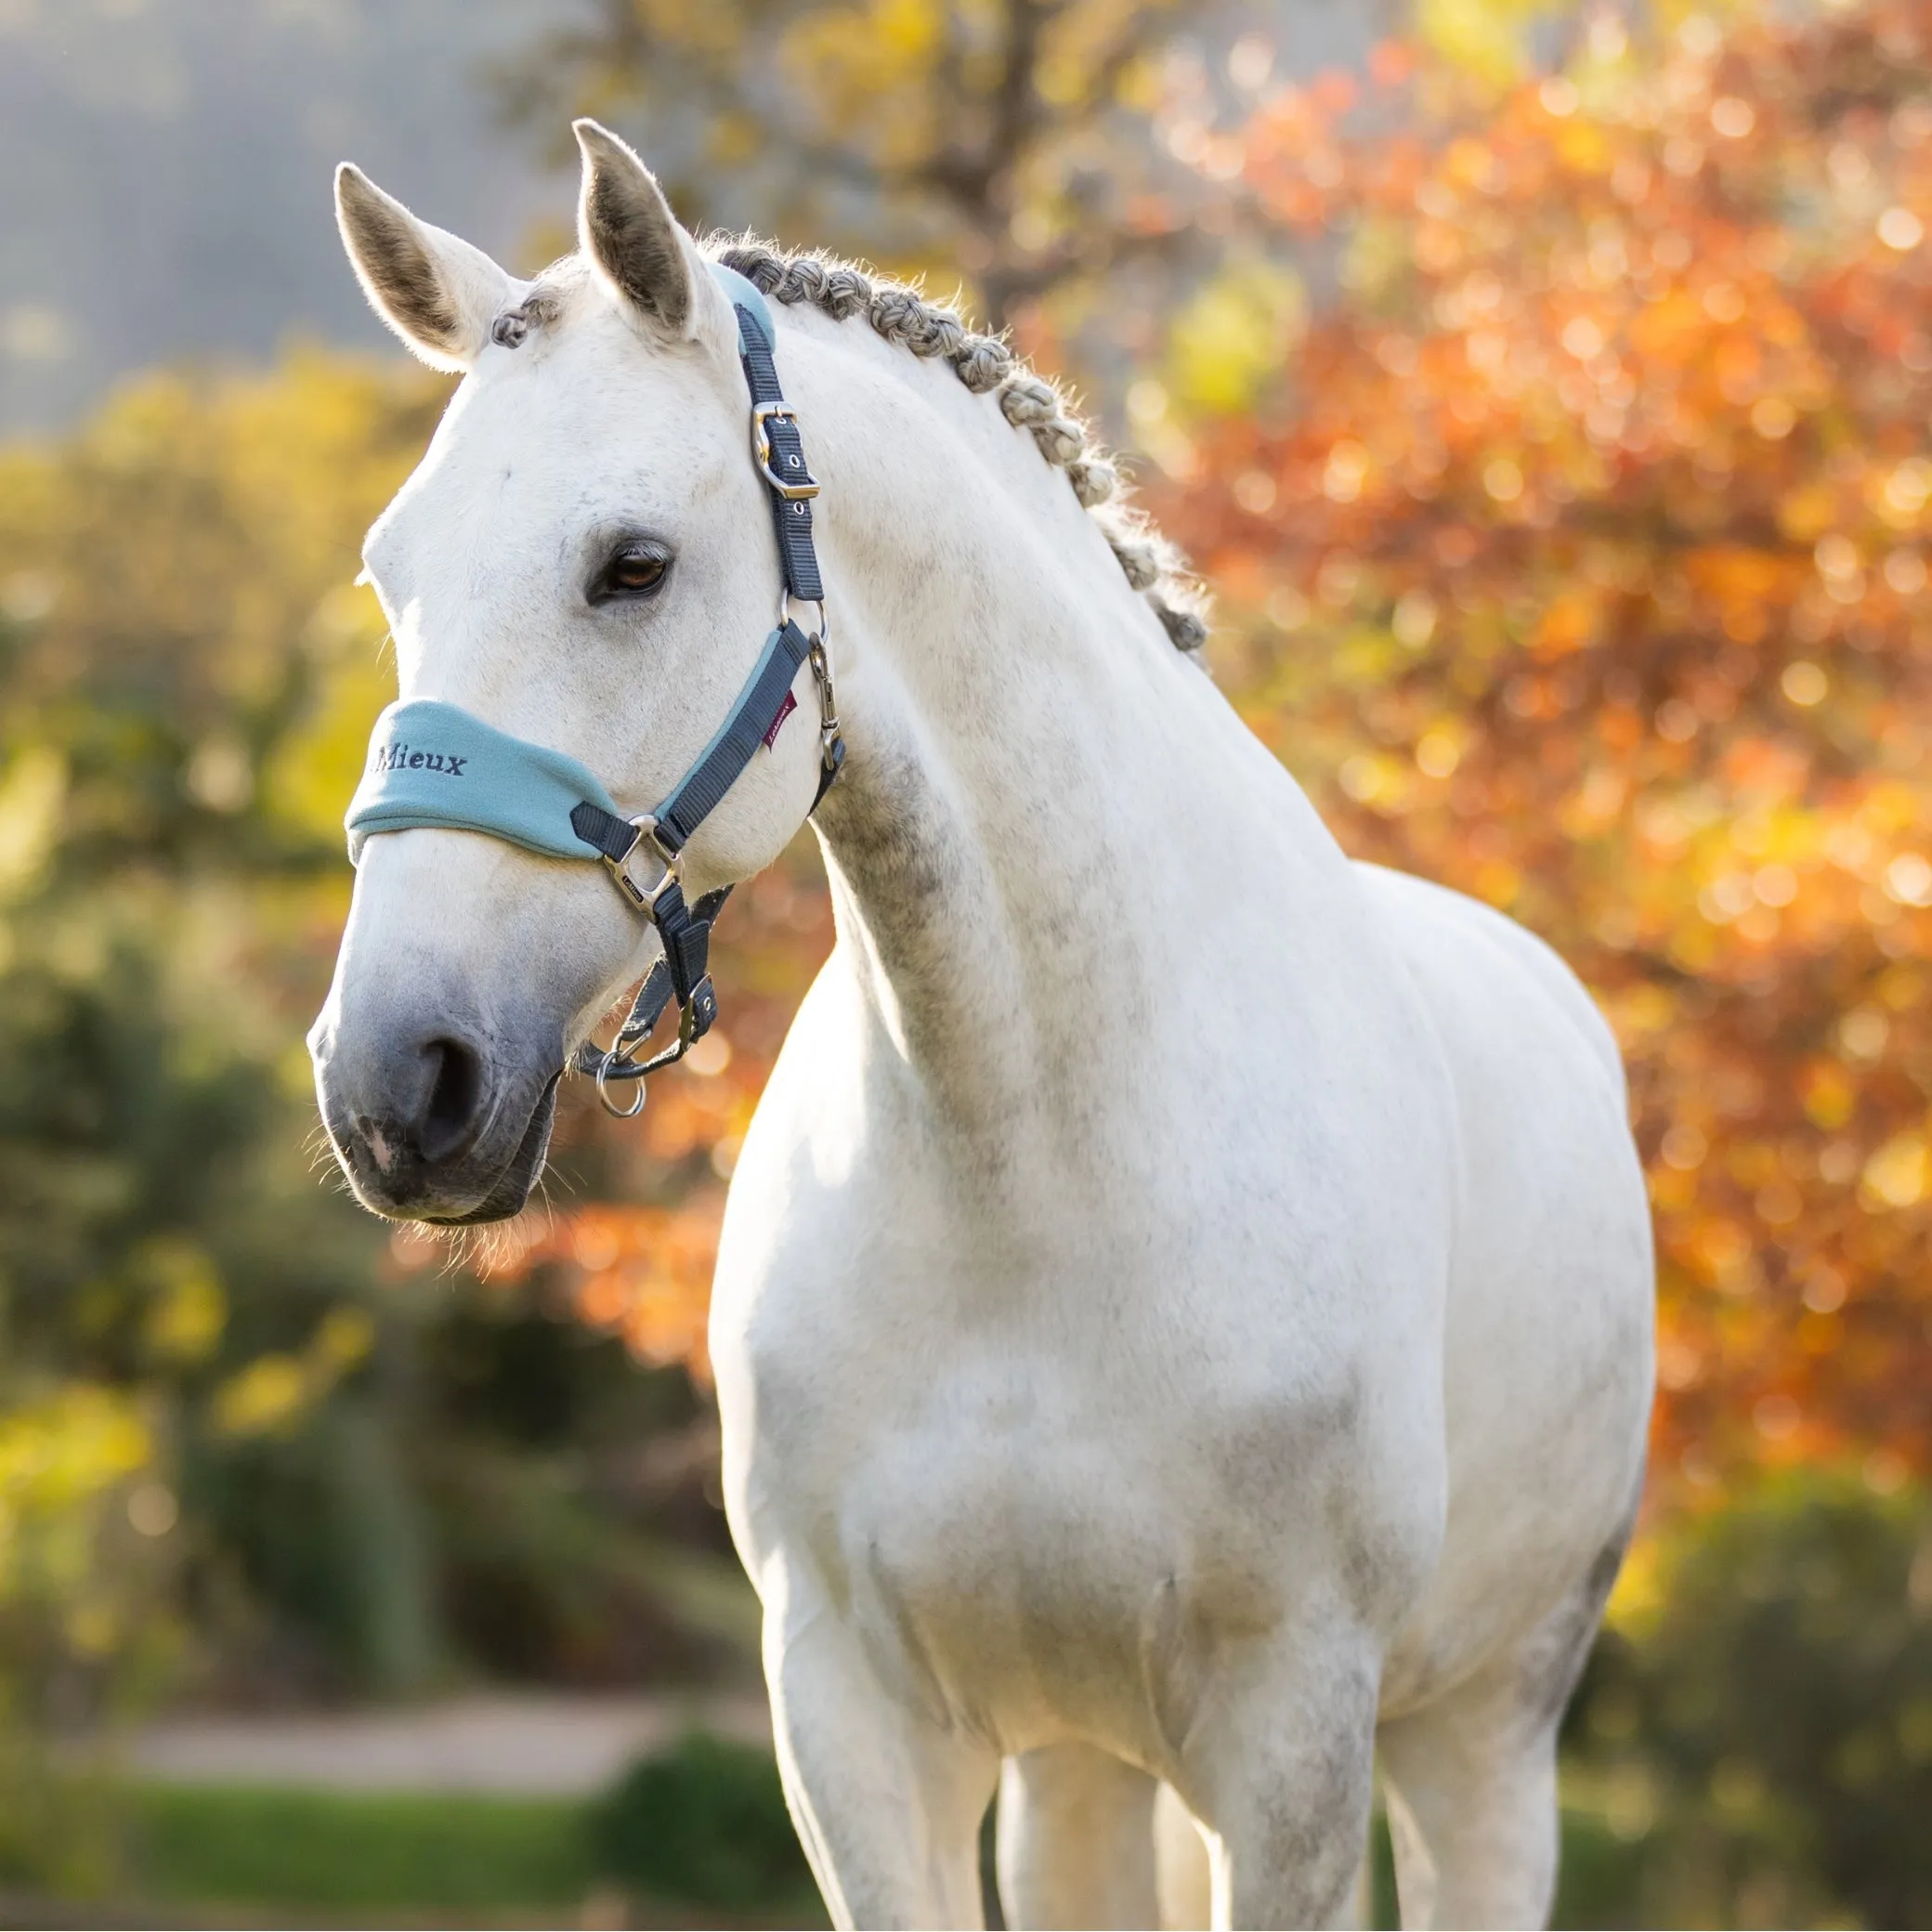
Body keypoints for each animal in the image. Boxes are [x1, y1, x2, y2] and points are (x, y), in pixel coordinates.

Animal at [308, 124, 1653, 1932]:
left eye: (632, 565)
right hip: (1083, 1767)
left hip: (1481, 1739)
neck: (1033, 1174)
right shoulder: (858, 1725)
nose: (400, 1082)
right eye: (392, 572)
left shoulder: (1295, 1741)